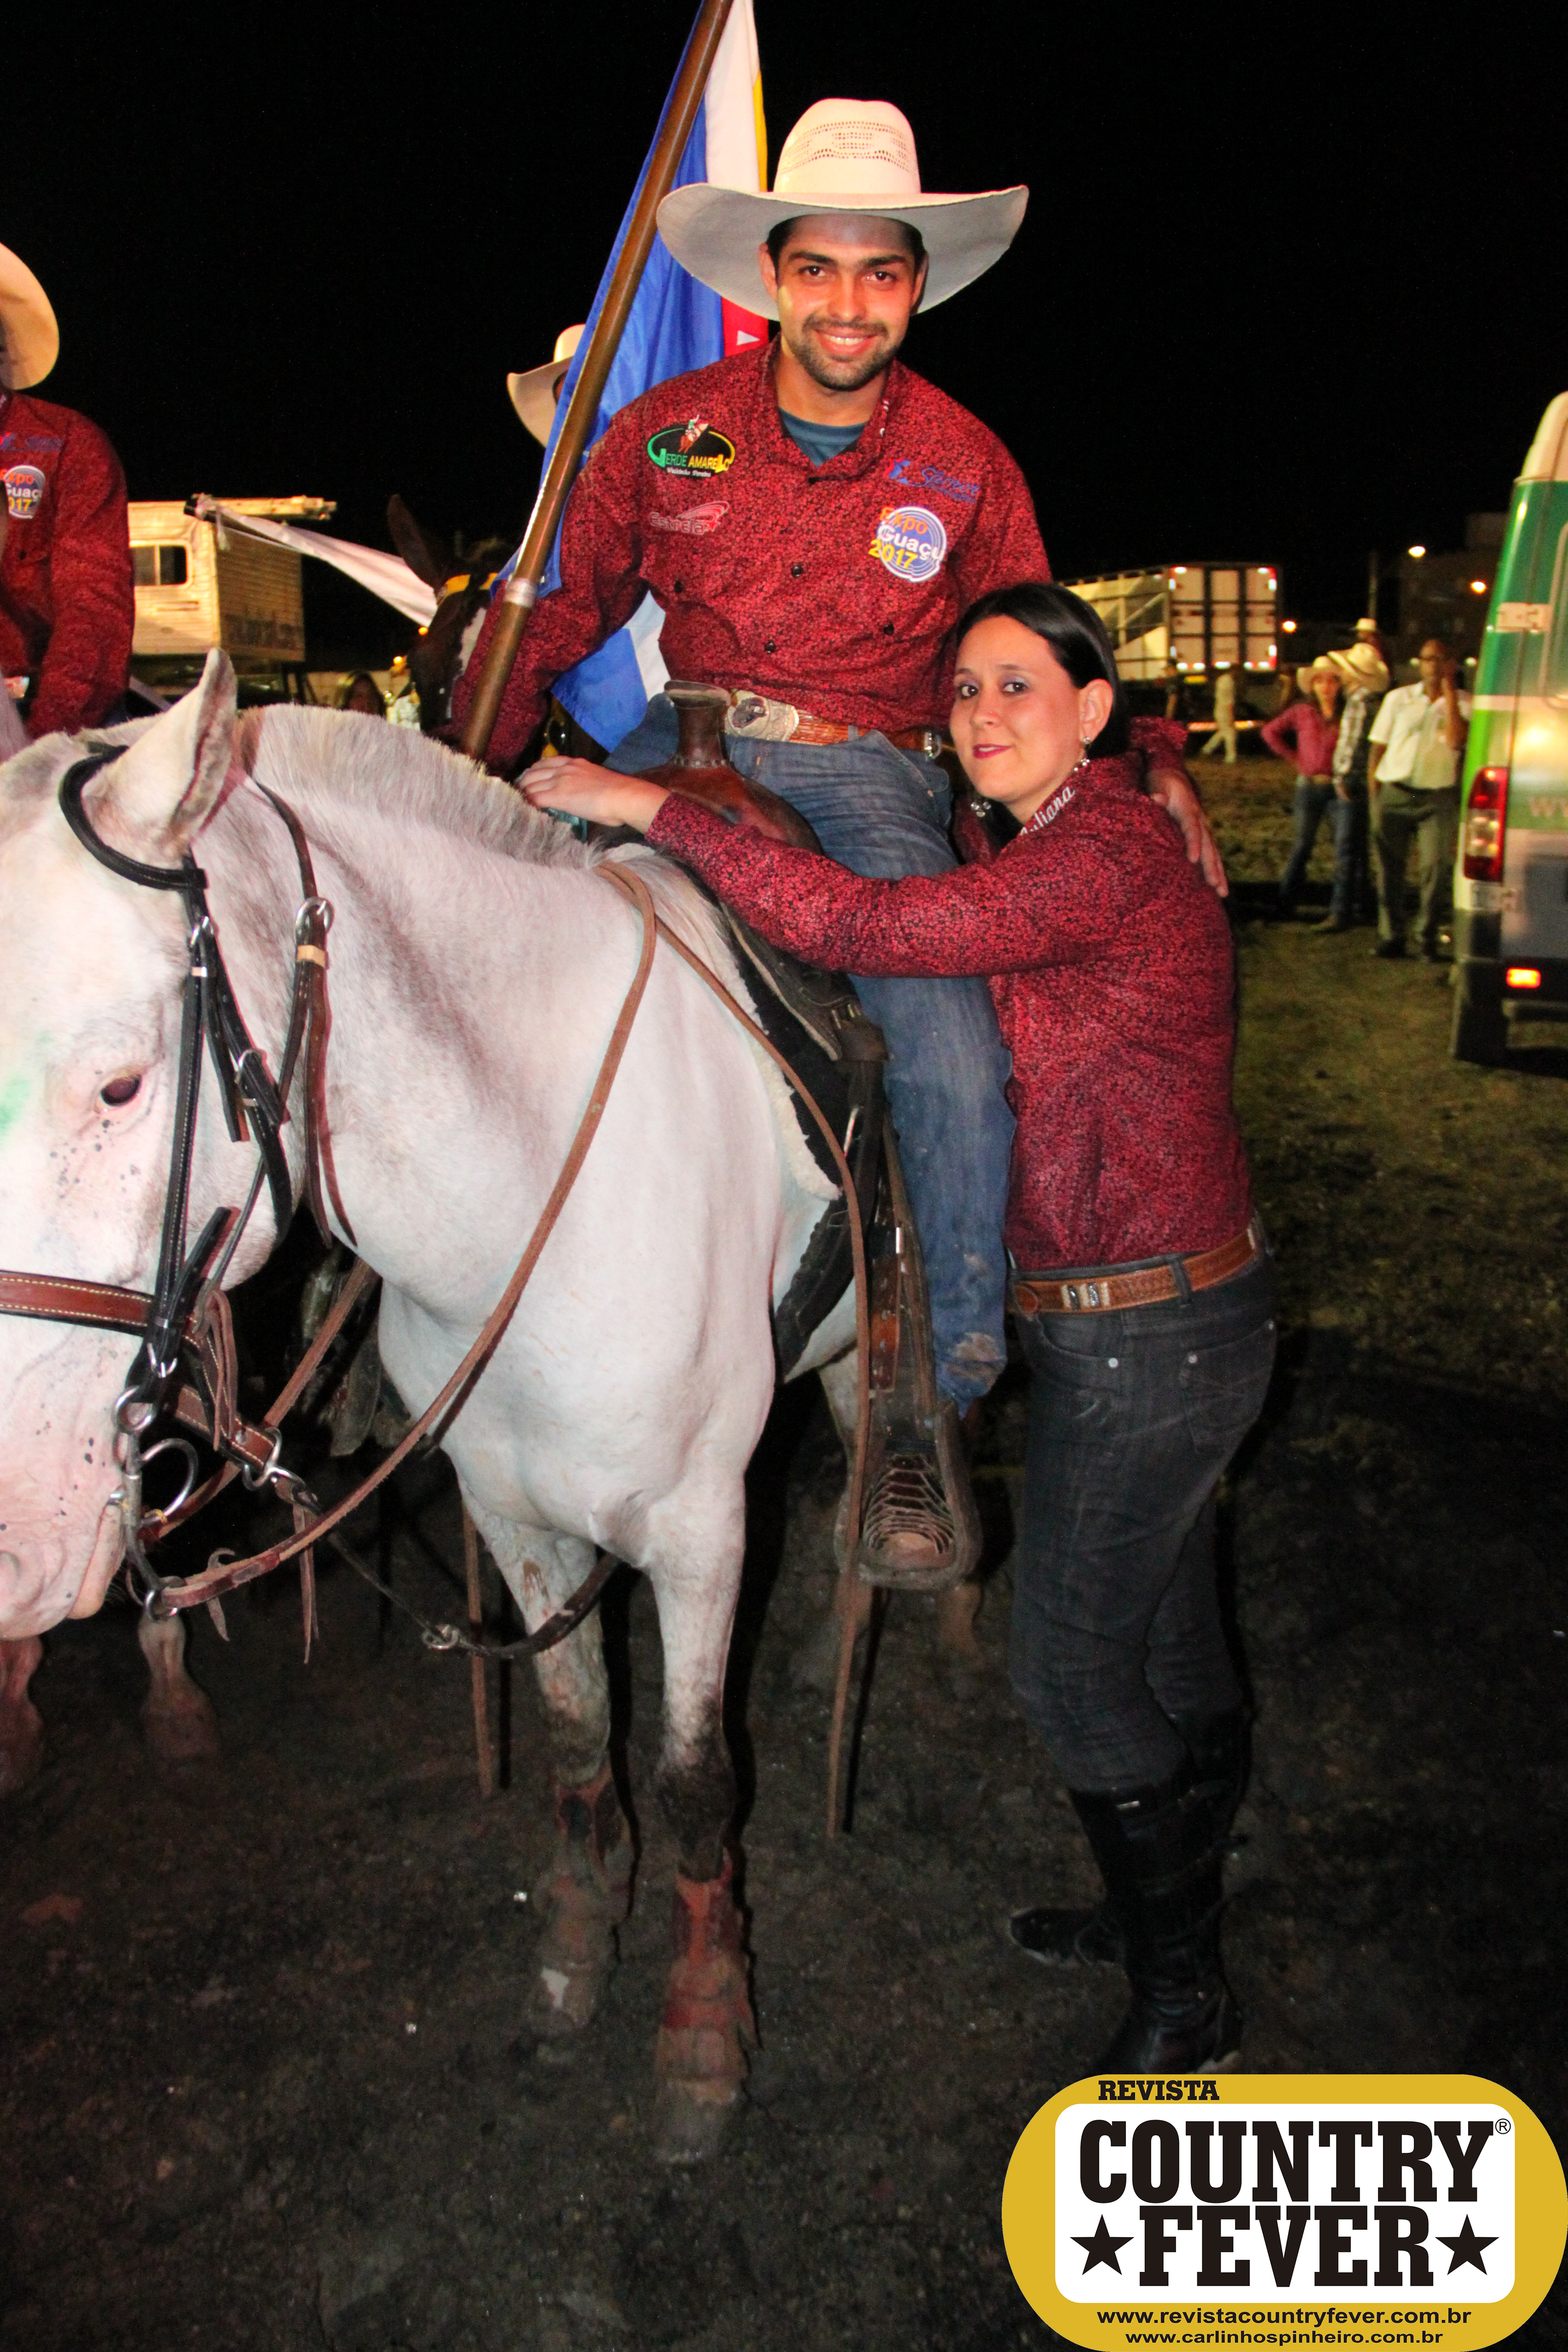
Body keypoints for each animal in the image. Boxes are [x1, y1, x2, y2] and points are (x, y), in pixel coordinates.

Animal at [0, 654, 846, 2154]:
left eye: (117, 1083)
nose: (11, 1548)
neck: (532, 1182)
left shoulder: (701, 1532)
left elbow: (695, 1776)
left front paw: (702, 2027)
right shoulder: (509, 1512)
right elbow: (577, 1735)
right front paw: (577, 1942)